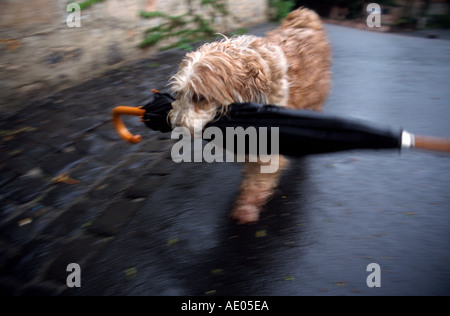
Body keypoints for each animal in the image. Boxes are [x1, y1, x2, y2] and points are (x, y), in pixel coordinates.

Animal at [168, 8, 330, 225]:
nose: (175, 125)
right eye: (179, 93)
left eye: (199, 97)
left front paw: (246, 208)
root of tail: (304, 16)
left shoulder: (269, 152)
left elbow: (257, 181)